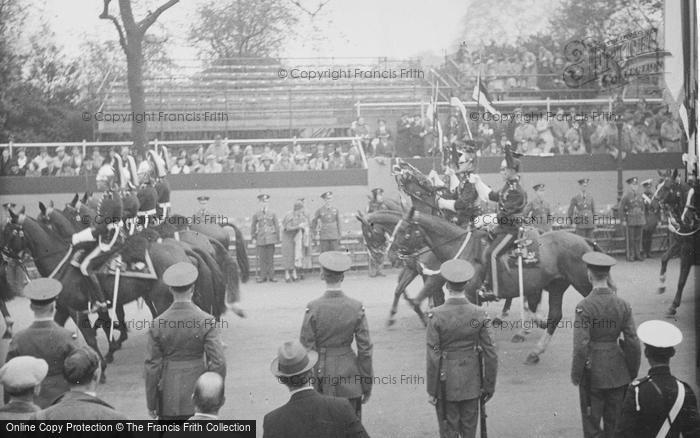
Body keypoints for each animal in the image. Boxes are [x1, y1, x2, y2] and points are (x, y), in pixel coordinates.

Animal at [370, 210, 604, 364]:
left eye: (404, 231)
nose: (391, 256)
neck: (460, 250)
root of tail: (583, 240)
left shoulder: (466, 292)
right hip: (556, 286)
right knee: (553, 316)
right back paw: (535, 349)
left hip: (582, 283)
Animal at [656, 173, 700, 316]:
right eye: (657, 185)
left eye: (667, 187)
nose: (654, 202)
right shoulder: (679, 244)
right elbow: (664, 258)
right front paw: (661, 283)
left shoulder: (687, 251)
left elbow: (681, 280)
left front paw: (674, 305)